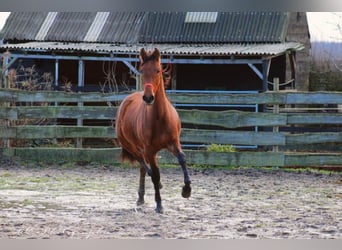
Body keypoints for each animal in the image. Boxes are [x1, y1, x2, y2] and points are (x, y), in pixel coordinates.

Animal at [114, 47, 190, 213]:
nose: (148, 98)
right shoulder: (149, 149)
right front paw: (159, 204)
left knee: (144, 168)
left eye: (157, 70)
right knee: (144, 165)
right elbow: (155, 174)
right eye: (142, 71)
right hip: (133, 147)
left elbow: (182, 158)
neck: (159, 118)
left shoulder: (174, 143)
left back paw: (142, 197)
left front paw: (186, 190)